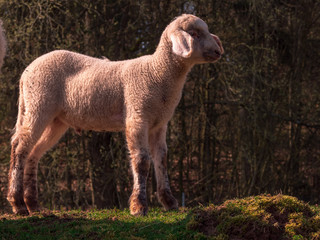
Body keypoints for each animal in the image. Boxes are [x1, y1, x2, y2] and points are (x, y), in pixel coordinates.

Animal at [6, 13, 222, 216]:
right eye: (194, 34)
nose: (218, 51)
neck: (158, 72)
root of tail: (26, 72)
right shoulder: (137, 115)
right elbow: (142, 161)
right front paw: (139, 206)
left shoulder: (160, 124)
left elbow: (161, 160)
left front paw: (170, 202)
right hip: (38, 105)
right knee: (20, 147)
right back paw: (18, 203)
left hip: (55, 119)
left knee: (34, 152)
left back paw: (33, 205)